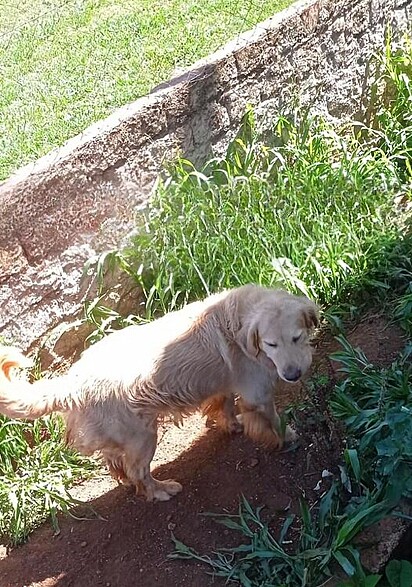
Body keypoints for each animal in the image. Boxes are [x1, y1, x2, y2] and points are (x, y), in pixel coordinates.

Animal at [0, 284, 318, 500]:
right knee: (139, 472)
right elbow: (274, 420)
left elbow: (225, 404)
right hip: (143, 438)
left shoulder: (224, 382)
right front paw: (287, 436)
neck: (238, 322)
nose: (293, 374)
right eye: (271, 344)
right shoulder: (259, 393)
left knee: (117, 463)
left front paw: (232, 424)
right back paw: (161, 490)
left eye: (296, 337)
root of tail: (72, 382)